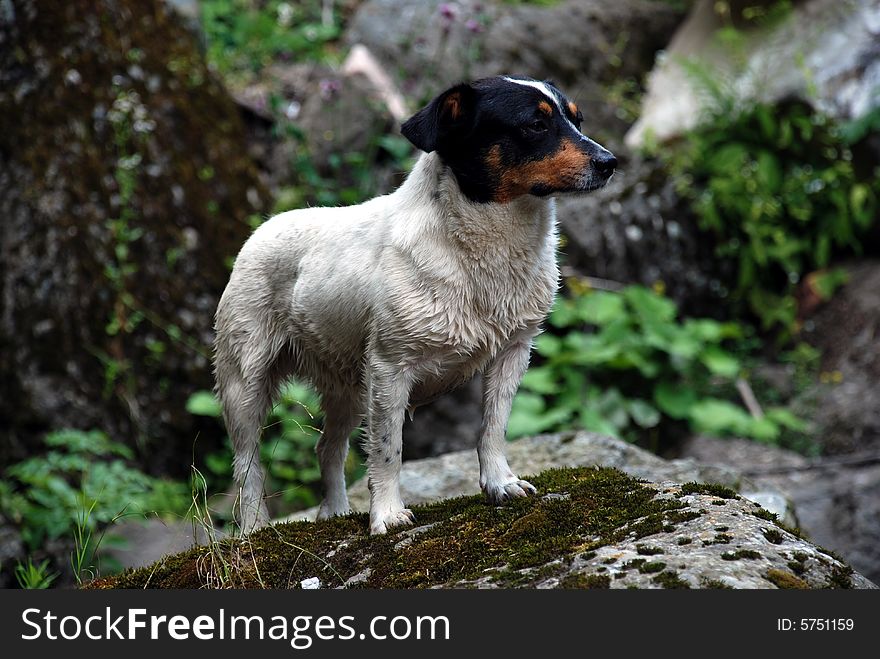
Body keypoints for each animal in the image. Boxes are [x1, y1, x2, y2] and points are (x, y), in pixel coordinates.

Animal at [213, 75, 616, 536]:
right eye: (535, 124)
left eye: (577, 120)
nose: (611, 162)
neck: (483, 251)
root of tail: (261, 229)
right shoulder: (390, 367)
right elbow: (388, 450)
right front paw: (387, 514)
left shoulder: (514, 351)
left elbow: (493, 427)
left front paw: (500, 483)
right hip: (244, 381)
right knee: (247, 465)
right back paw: (252, 529)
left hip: (348, 385)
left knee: (327, 448)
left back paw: (336, 512)